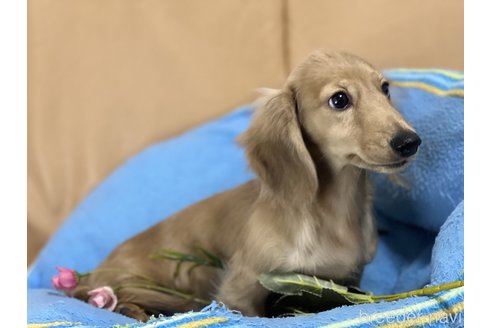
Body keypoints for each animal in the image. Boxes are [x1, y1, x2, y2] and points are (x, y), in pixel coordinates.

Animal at [73, 49, 418, 320]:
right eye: (340, 99)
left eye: (384, 88)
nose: (410, 142)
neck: (333, 215)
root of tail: (96, 272)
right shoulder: (242, 286)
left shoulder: (349, 276)